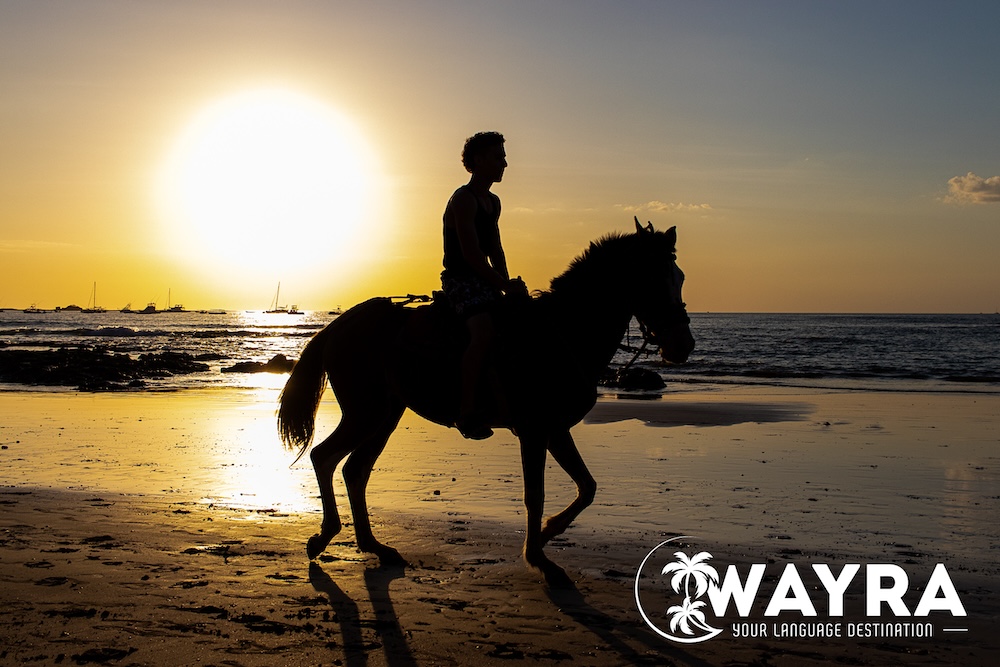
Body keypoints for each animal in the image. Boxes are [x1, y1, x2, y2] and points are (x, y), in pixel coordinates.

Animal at [278, 219, 692, 584]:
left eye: (680, 277)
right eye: (653, 277)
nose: (683, 344)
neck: (561, 333)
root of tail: (340, 324)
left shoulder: (555, 429)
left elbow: (586, 486)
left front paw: (547, 532)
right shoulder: (534, 431)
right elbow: (535, 494)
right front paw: (540, 559)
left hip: (386, 415)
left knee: (355, 470)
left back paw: (374, 546)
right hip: (366, 412)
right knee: (325, 457)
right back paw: (325, 536)